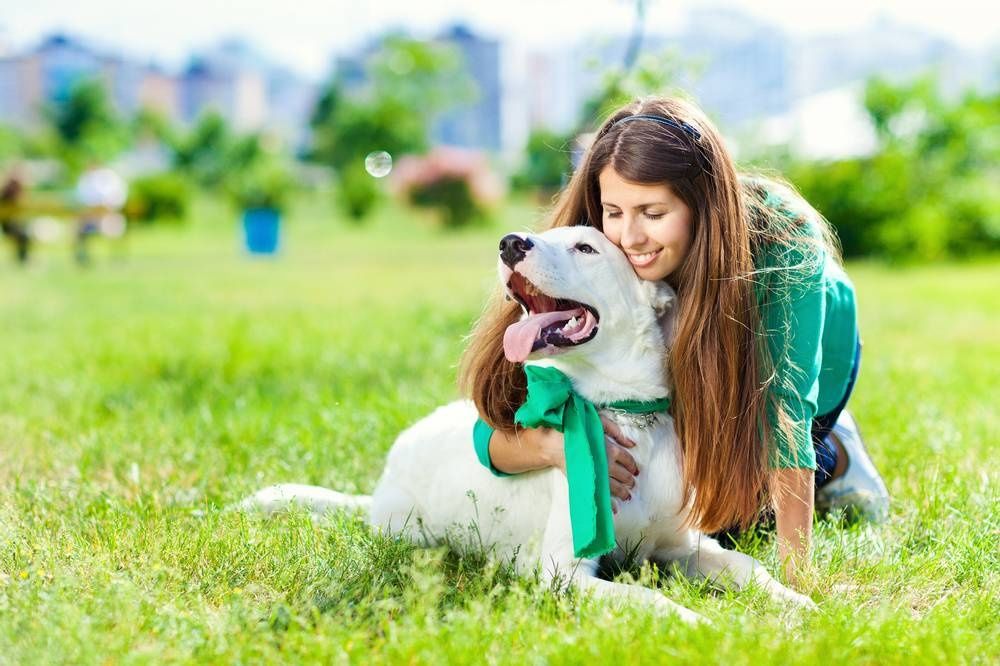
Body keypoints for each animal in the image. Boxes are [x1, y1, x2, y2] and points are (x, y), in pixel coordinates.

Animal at [242, 226, 812, 620]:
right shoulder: (566, 573)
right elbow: (647, 599)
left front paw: (799, 604)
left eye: (586, 247)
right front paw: (697, 623)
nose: (509, 243)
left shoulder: (684, 545)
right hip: (411, 532)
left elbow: (746, 566)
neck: (628, 415)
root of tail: (381, 485)